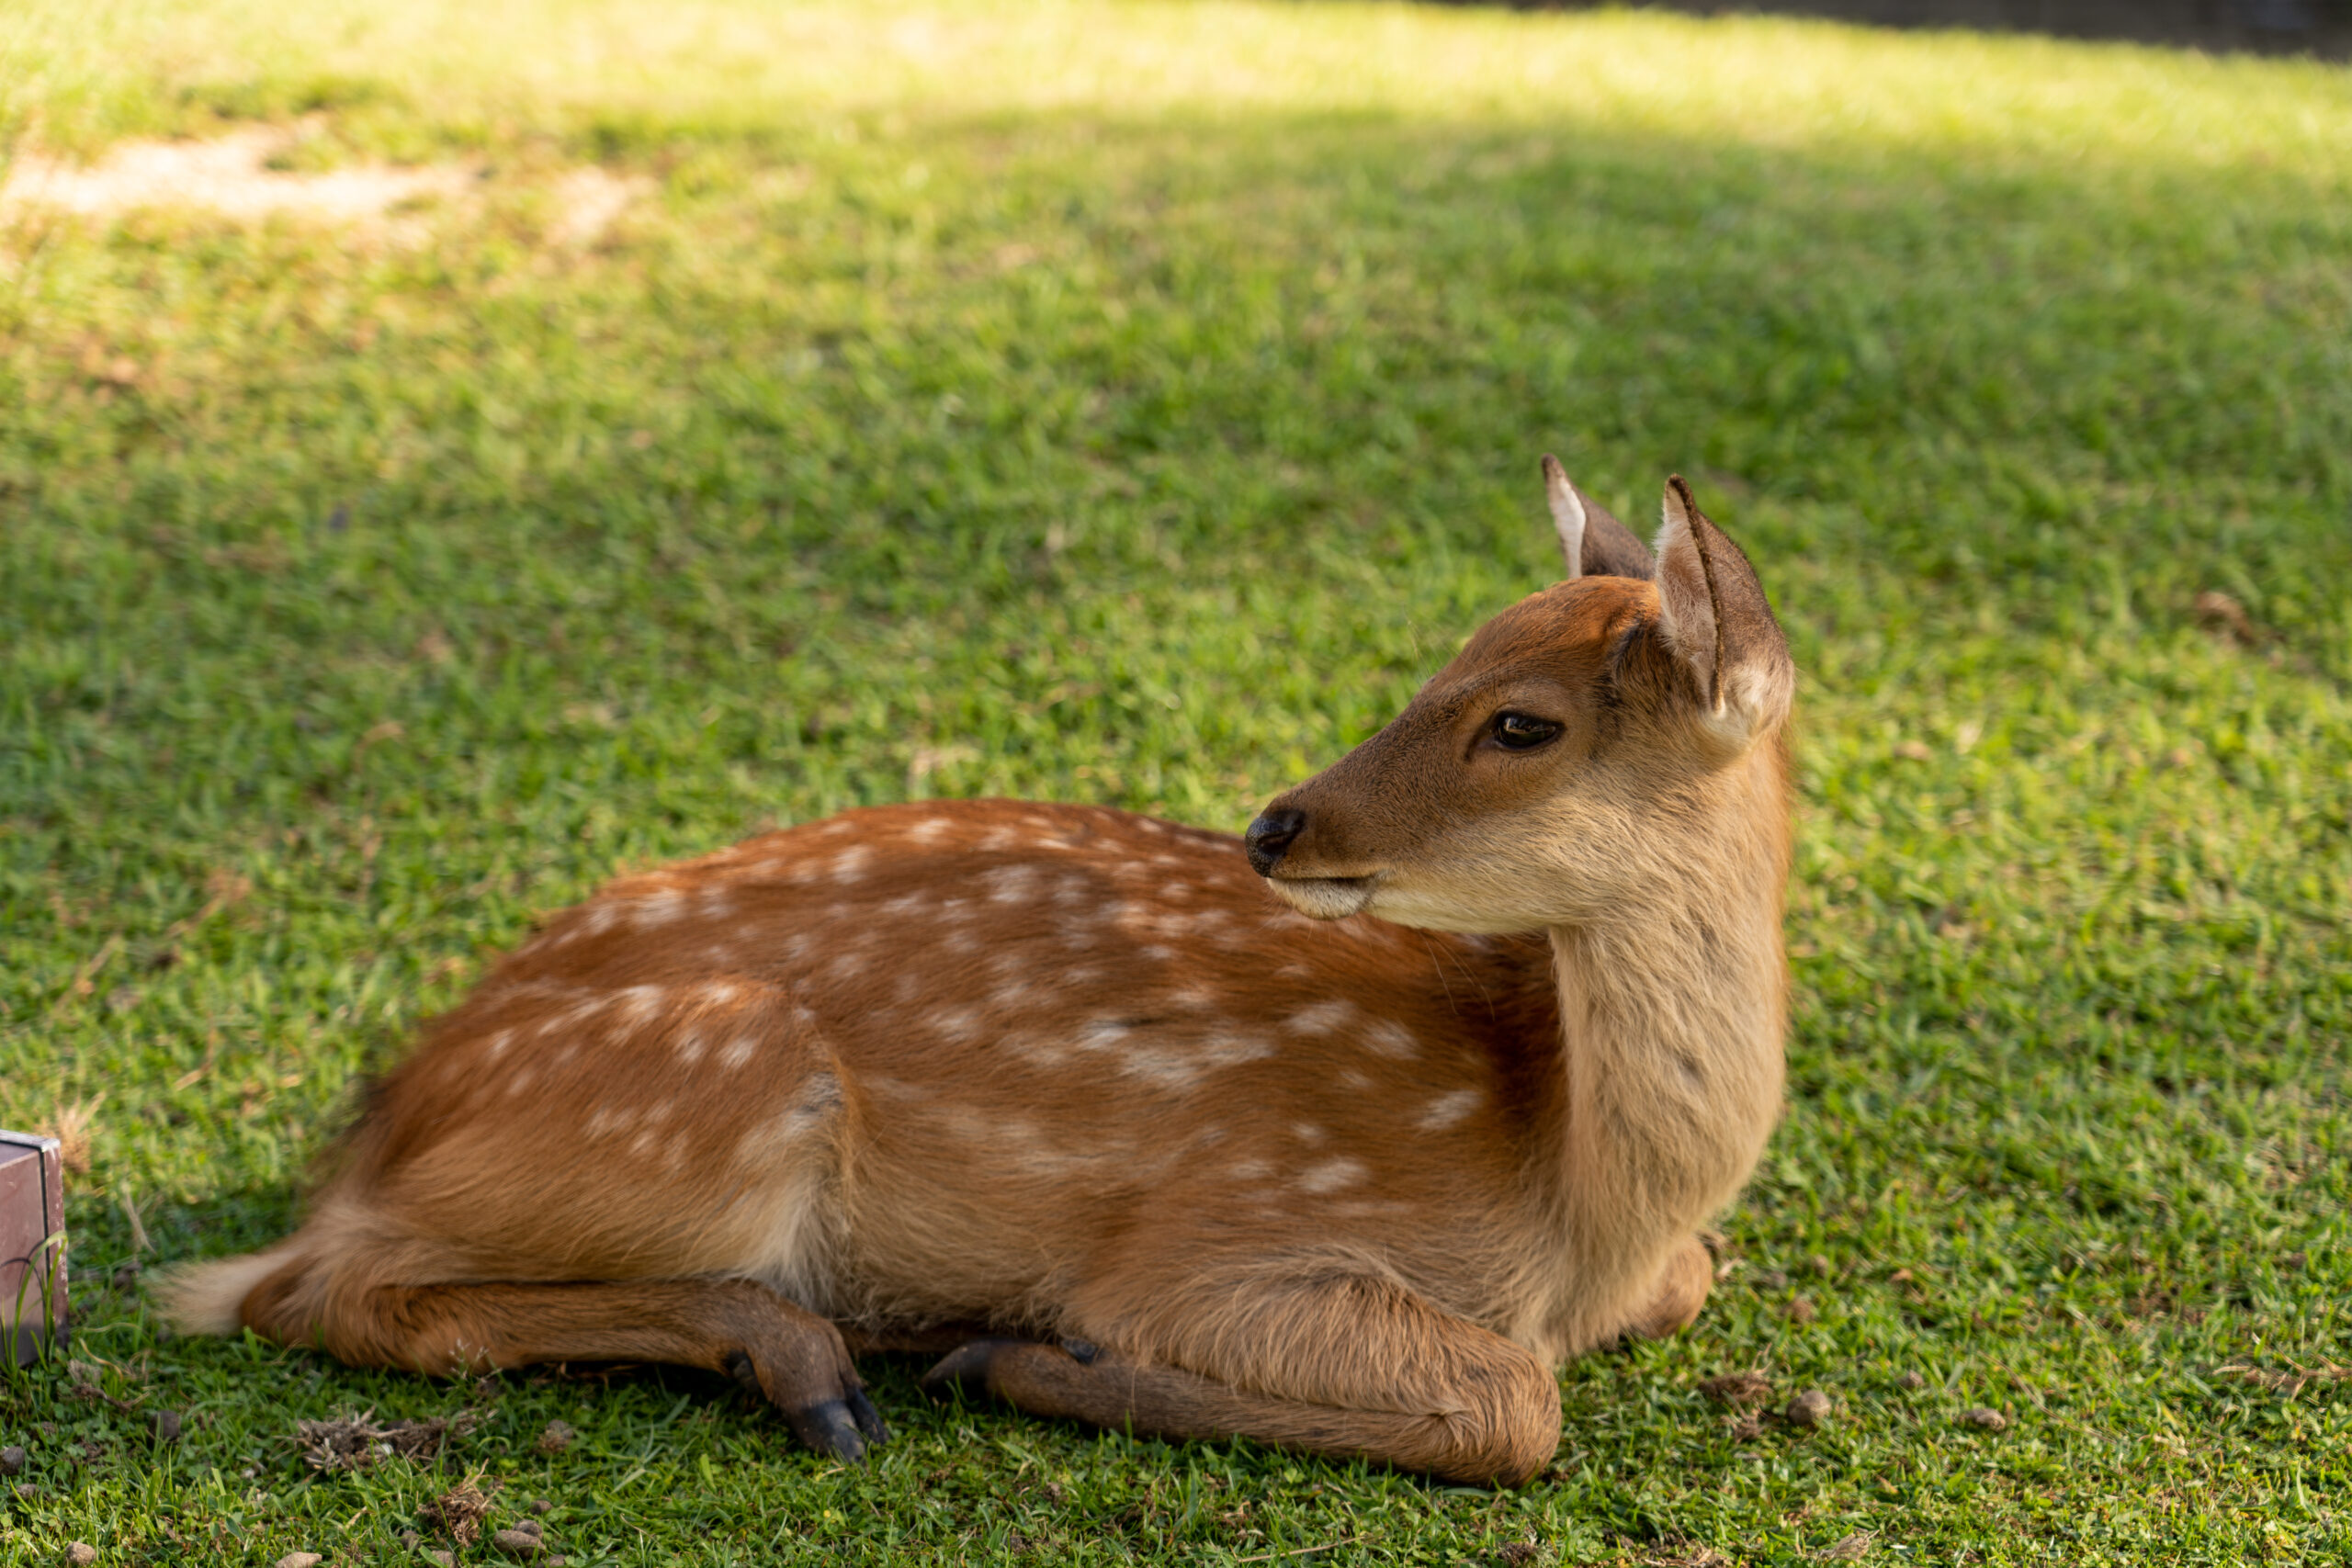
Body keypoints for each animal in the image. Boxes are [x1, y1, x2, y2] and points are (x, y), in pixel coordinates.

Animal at [165, 462, 1793, 1487]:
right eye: (1438, 664)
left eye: (1521, 720)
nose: (1277, 823)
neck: (1573, 1198)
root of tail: (372, 1131)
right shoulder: (1219, 1236)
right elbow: (1521, 1400)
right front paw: (1017, 1350)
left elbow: (1689, 1283)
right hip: (719, 1086)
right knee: (308, 1289)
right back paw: (818, 1362)